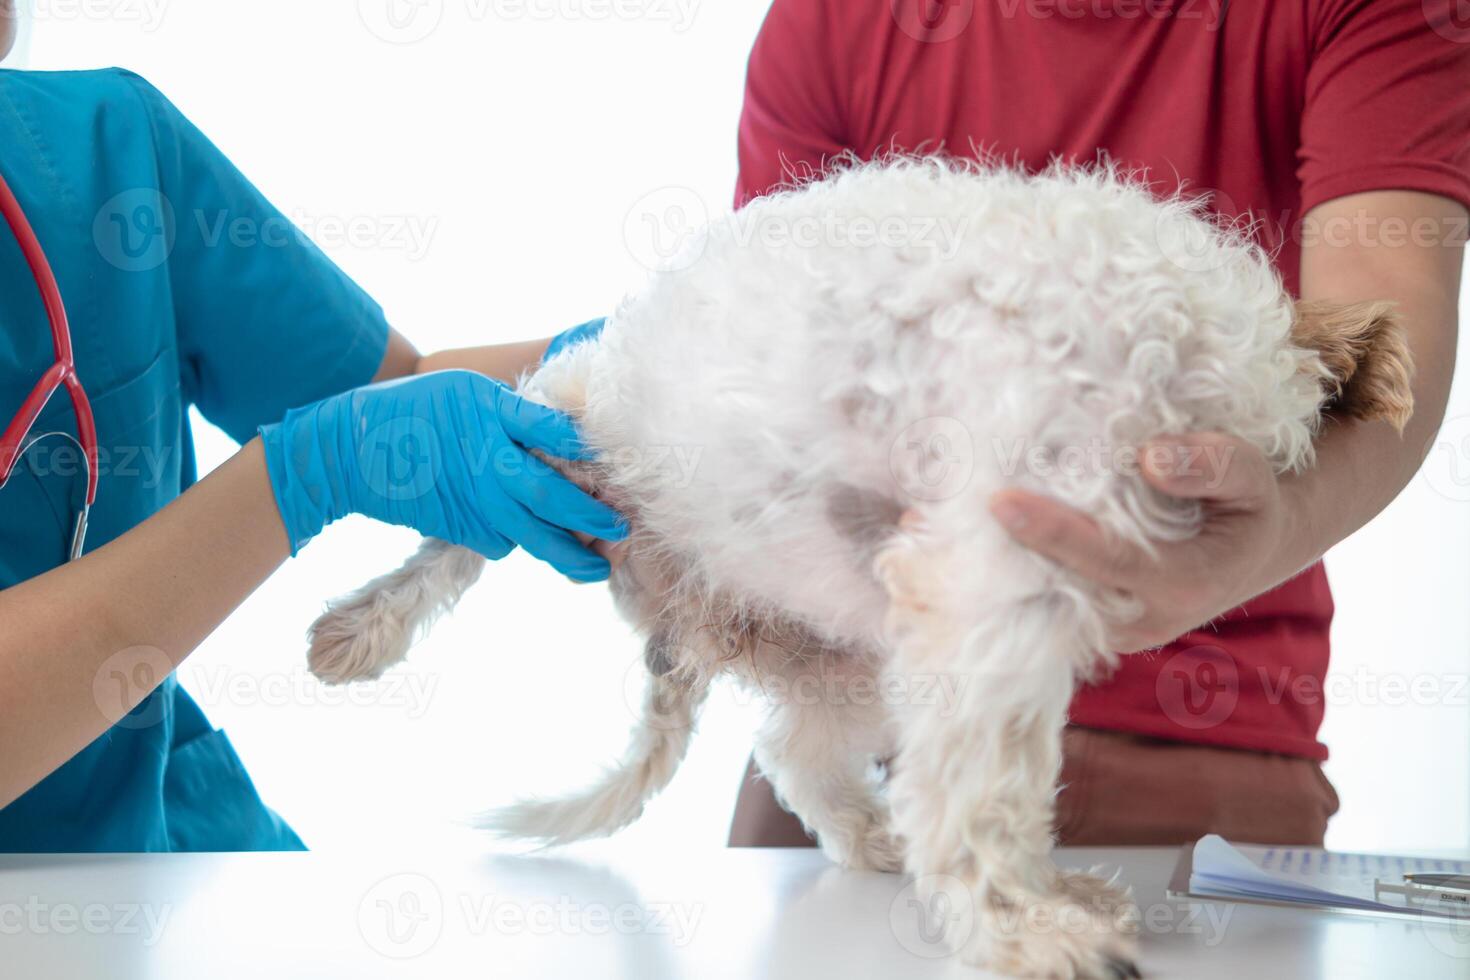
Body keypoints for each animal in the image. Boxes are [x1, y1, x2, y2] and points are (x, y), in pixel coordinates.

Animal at [304, 159, 1405, 975]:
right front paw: (1023, 928)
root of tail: (684, 606)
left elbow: (986, 780)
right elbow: (986, 788)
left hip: (852, 640)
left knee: (796, 749)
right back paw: (361, 625)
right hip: (567, 422)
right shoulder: (995, 584)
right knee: (456, 536)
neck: (1171, 345)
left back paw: (878, 838)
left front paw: (1038, 899)